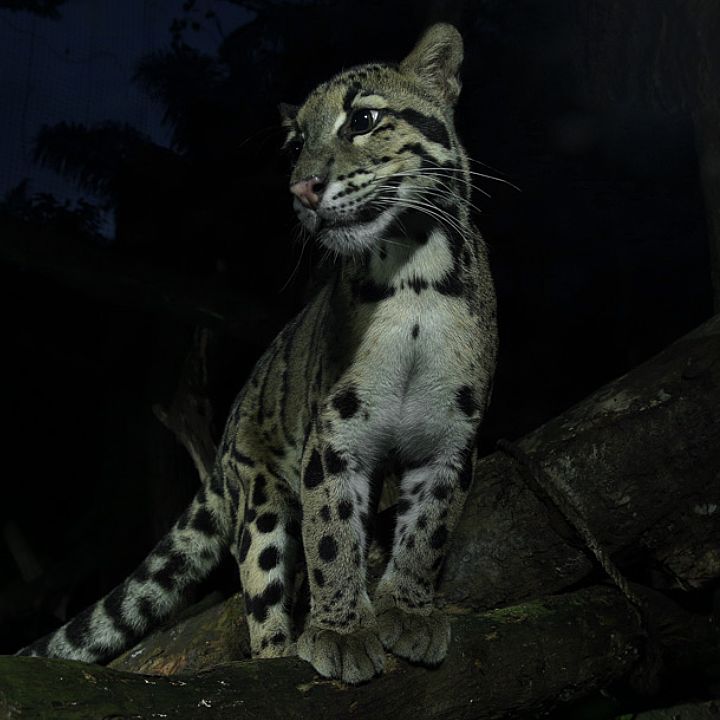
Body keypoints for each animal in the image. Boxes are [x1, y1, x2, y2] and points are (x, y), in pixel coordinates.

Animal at [17, 22, 498, 684]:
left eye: (364, 119)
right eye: (296, 144)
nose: (302, 188)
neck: (412, 278)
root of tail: (223, 438)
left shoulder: (451, 431)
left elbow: (430, 528)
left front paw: (409, 611)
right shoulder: (335, 434)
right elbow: (331, 535)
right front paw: (341, 632)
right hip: (260, 492)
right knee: (263, 594)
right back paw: (279, 651)